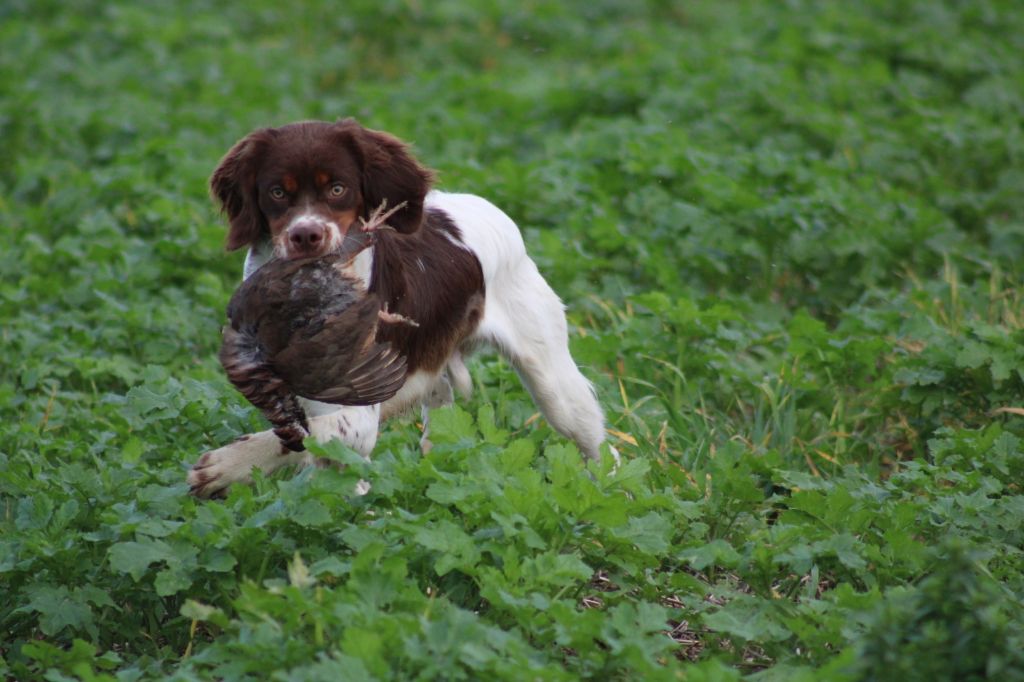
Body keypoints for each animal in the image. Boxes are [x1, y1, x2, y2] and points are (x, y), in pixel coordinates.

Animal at [188, 119, 610, 497]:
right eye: (277, 192)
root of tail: (481, 204)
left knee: (599, 447)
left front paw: (226, 465)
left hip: (555, 387)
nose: (306, 235)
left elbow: (307, 436)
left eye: (338, 188)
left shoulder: (355, 414)